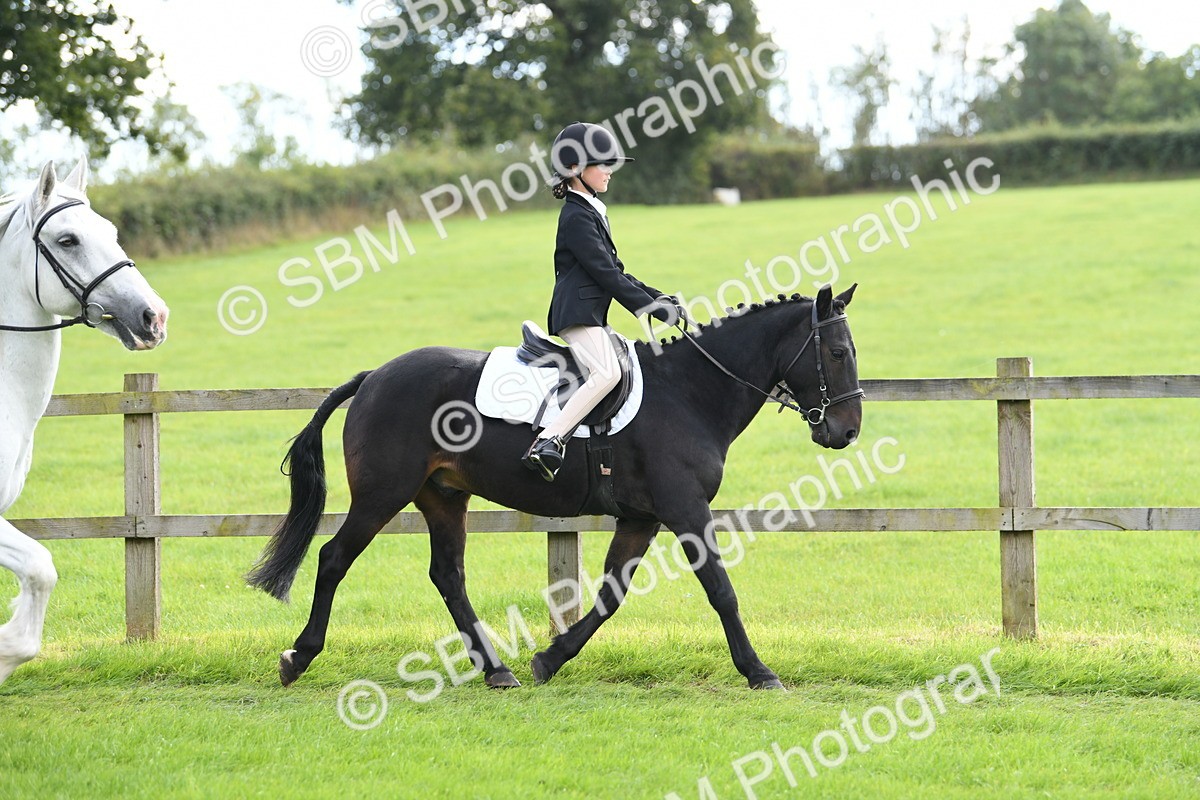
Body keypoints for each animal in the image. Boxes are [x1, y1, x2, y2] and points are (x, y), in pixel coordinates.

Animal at [248, 284, 862, 690]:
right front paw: (759, 671)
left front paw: (550, 659)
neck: (690, 390)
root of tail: (374, 376)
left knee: (448, 575)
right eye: (837, 353)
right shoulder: (685, 509)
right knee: (333, 558)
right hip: (382, 495)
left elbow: (611, 595)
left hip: (443, 496)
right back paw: (298, 657)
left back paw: (498, 671)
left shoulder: (642, 517)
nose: (846, 431)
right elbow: (720, 589)